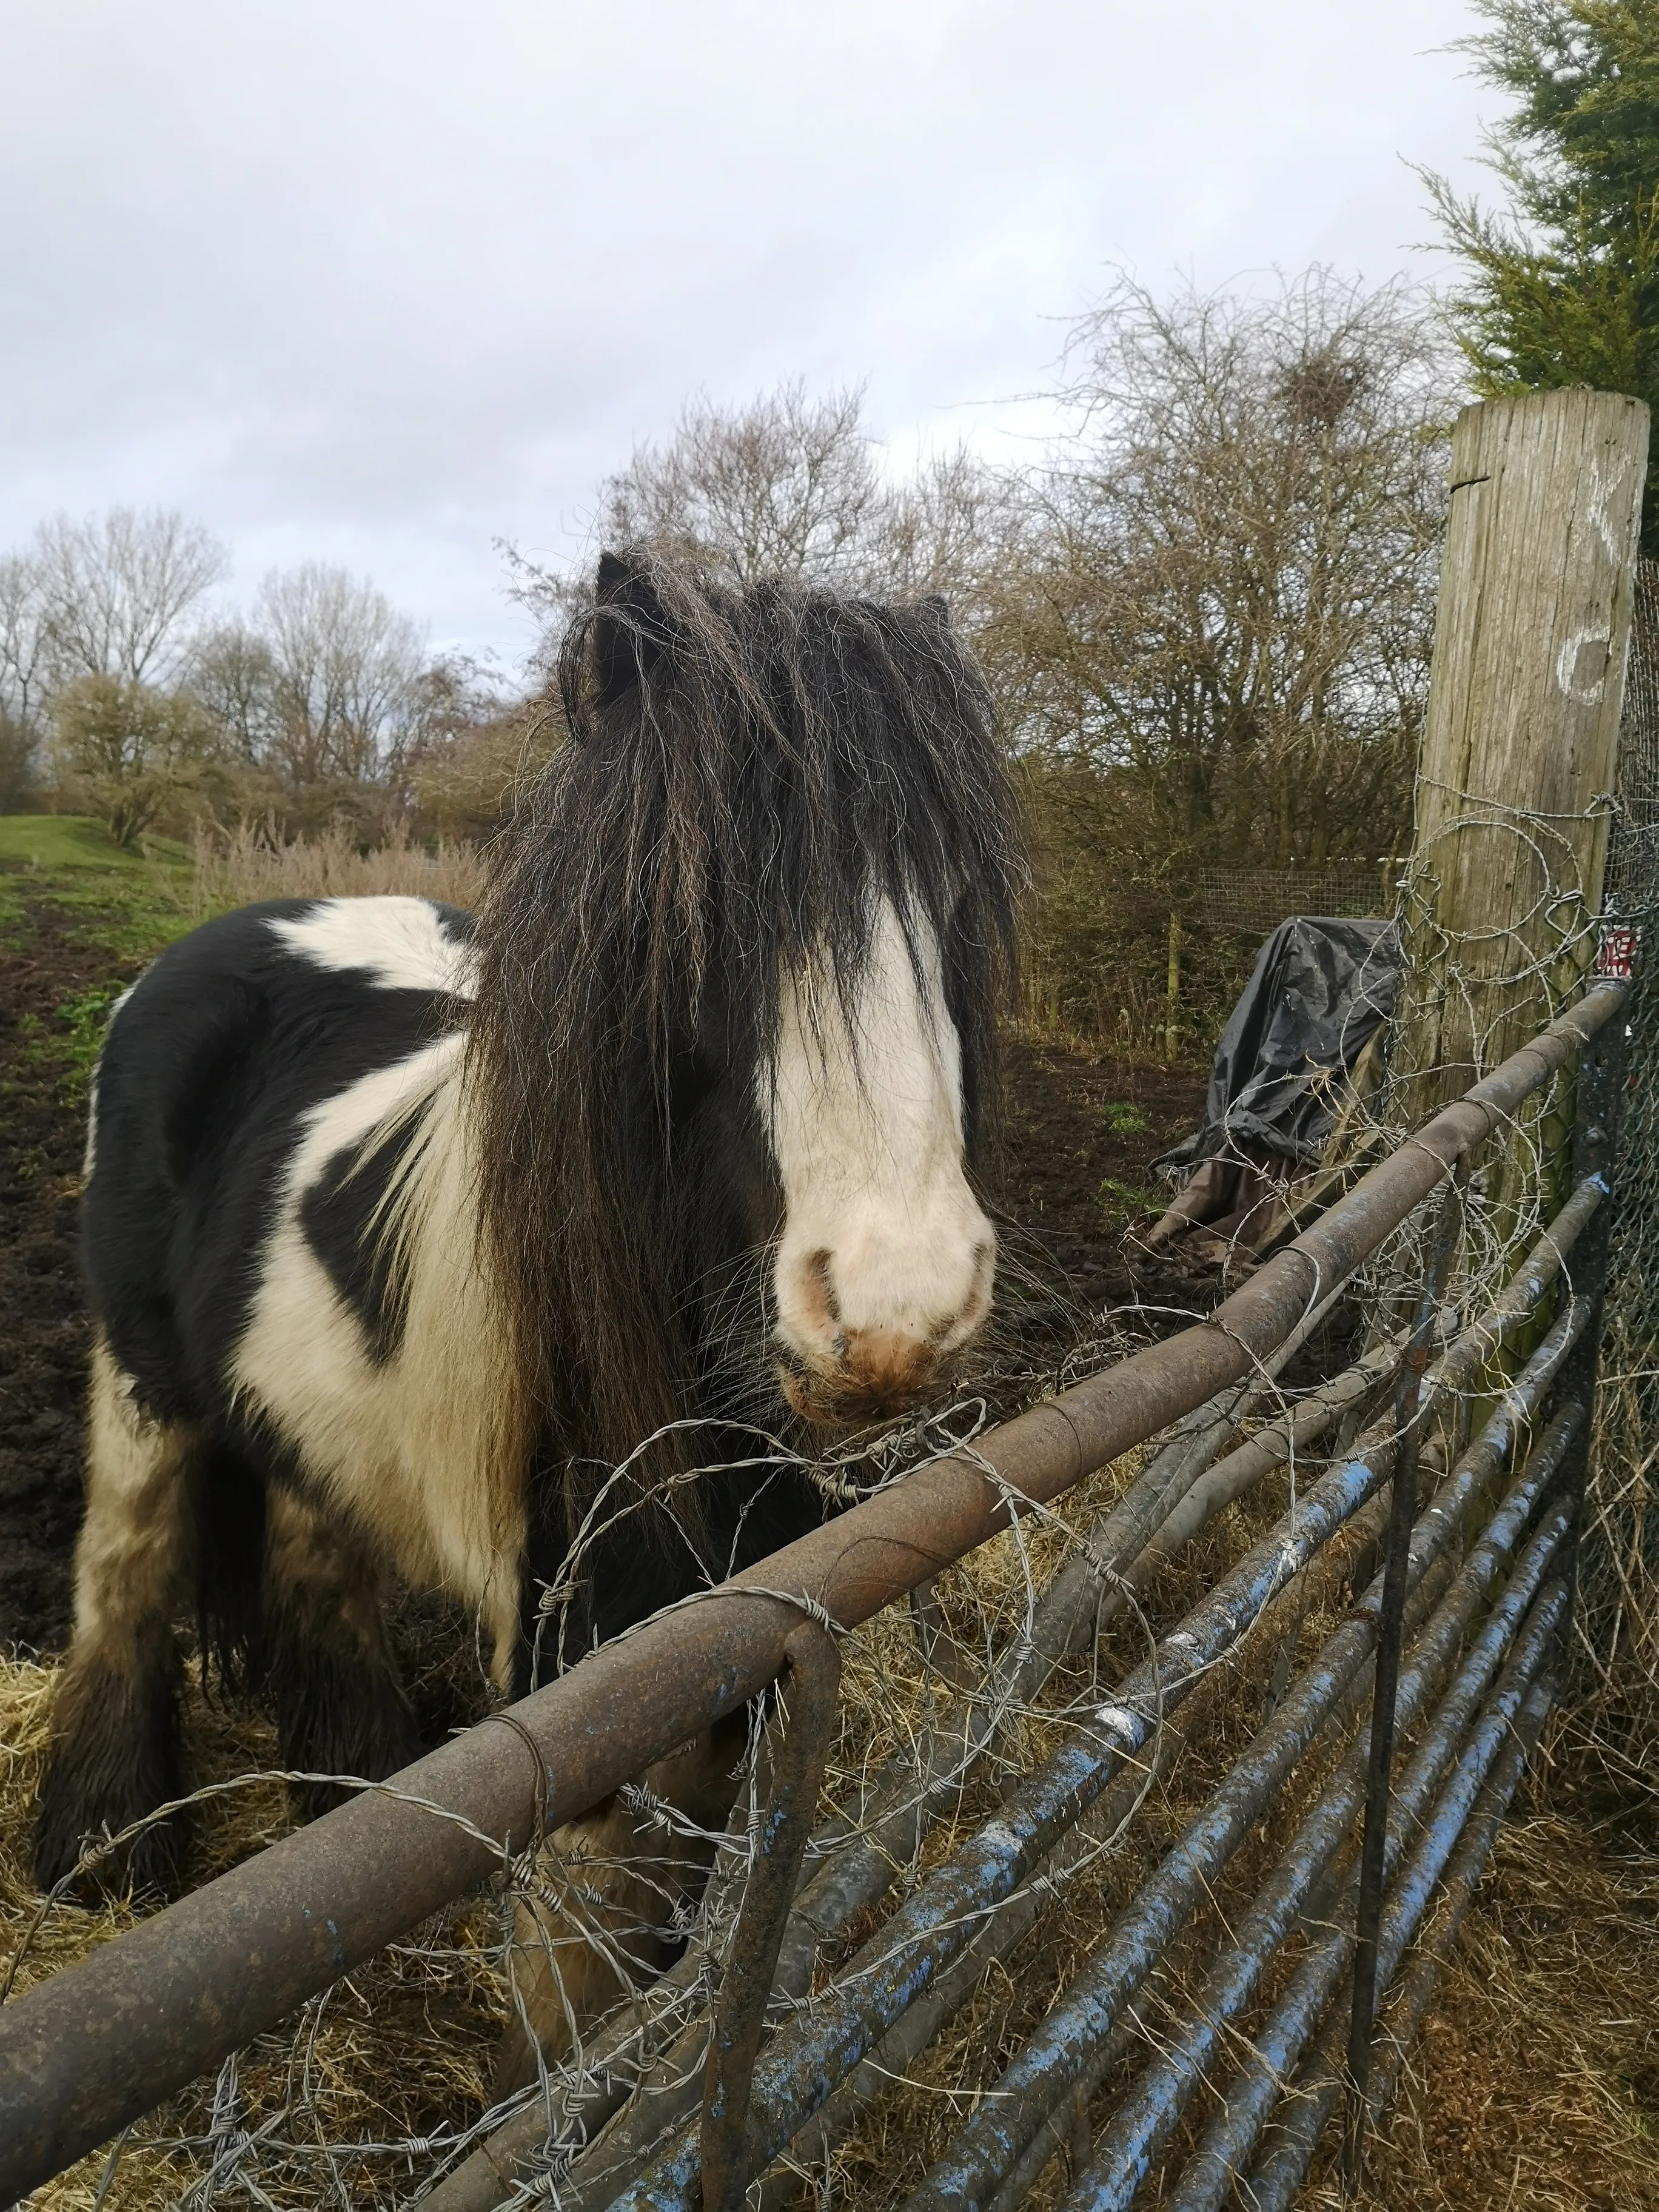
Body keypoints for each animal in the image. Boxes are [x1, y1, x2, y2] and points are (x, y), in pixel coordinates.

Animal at [34, 548, 1022, 2074]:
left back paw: (357, 1790)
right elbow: (571, 2023)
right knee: (125, 1582)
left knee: (317, 1563)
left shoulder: (721, 1709)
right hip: (139, 1396)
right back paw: (106, 1854)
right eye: (690, 921)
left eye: (956, 906)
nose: (897, 1306)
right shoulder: (582, 1748)